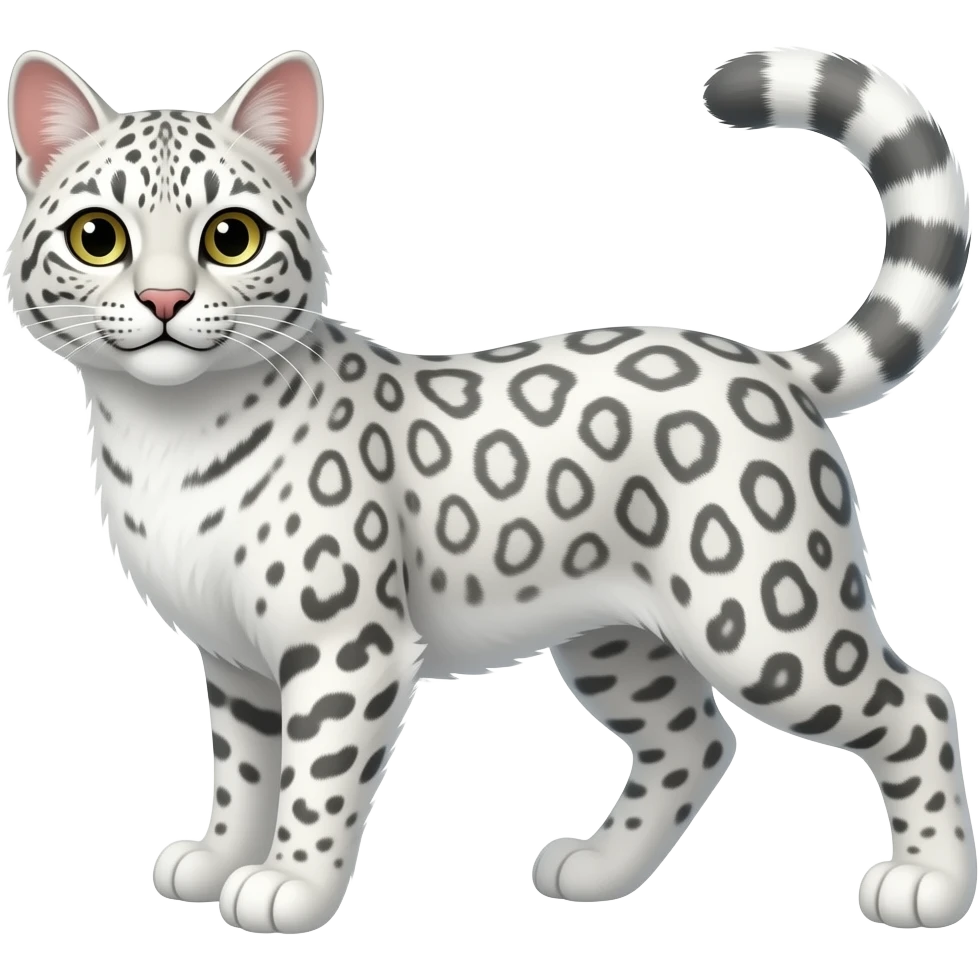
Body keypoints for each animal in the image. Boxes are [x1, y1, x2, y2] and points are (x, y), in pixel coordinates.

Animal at [4, 46, 975, 934]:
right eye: (99, 236)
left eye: (229, 237)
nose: (165, 300)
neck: (164, 436)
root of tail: (761, 360)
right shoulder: (236, 658)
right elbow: (241, 769)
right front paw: (218, 855)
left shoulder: (345, 650)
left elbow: (316, 778)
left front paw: (290, 884)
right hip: (613, 641)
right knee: (695, 740)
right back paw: (599, 868)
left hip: (767, 628)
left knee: (918, 702)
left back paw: (927, 880)